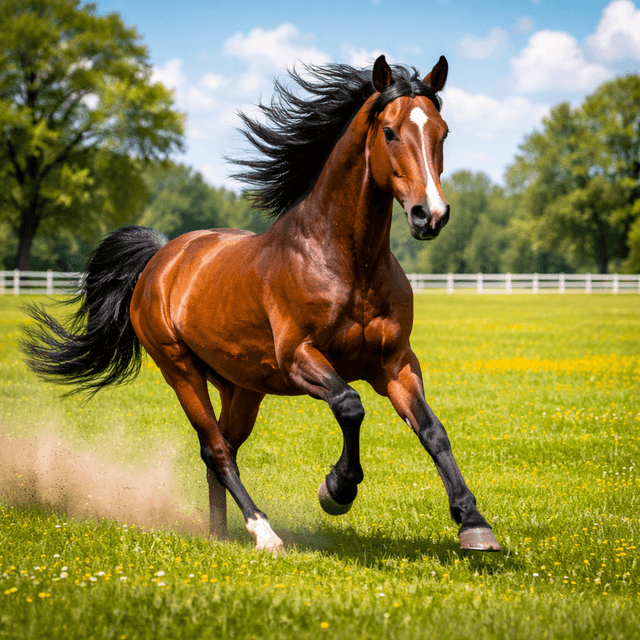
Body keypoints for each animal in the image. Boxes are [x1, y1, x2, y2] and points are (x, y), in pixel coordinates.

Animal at [23, 55, 501, 554]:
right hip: (180, 370)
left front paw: (473, 523)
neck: (345, 261)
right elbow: (349, 405)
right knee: (215, 448)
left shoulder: (395, 362)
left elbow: (432, 430)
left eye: (443, 132)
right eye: (389, 131)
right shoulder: (299, 357)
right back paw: (262, 531)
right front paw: (336, 489)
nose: (431, 215)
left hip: (241, 386)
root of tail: (161, 258)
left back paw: (218, 533)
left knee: (224, 449)